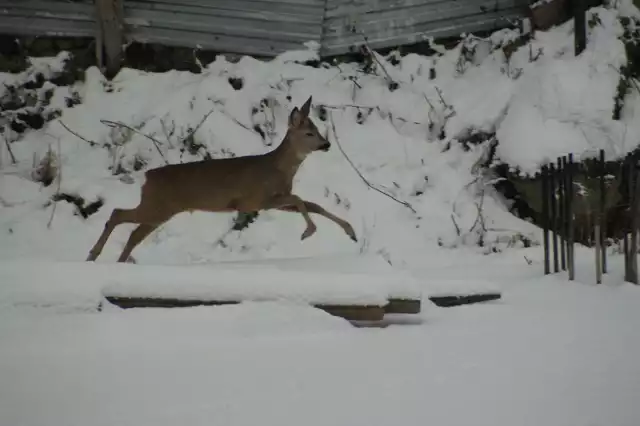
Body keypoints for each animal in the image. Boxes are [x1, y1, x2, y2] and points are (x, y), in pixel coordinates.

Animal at [84, 96, 358, 262]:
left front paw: (351, 231)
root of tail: (147, 176)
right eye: (309, 133)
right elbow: (300, 199)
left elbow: (313, 204)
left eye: (318, 130)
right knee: (117, 214)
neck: (277, 170)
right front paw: (308, 232)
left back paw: (116, 261)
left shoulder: (273, 200)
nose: (326, 144)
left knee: (131, 230)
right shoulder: (254, 200)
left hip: (159, 210)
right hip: (157, 207)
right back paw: (94, 255)